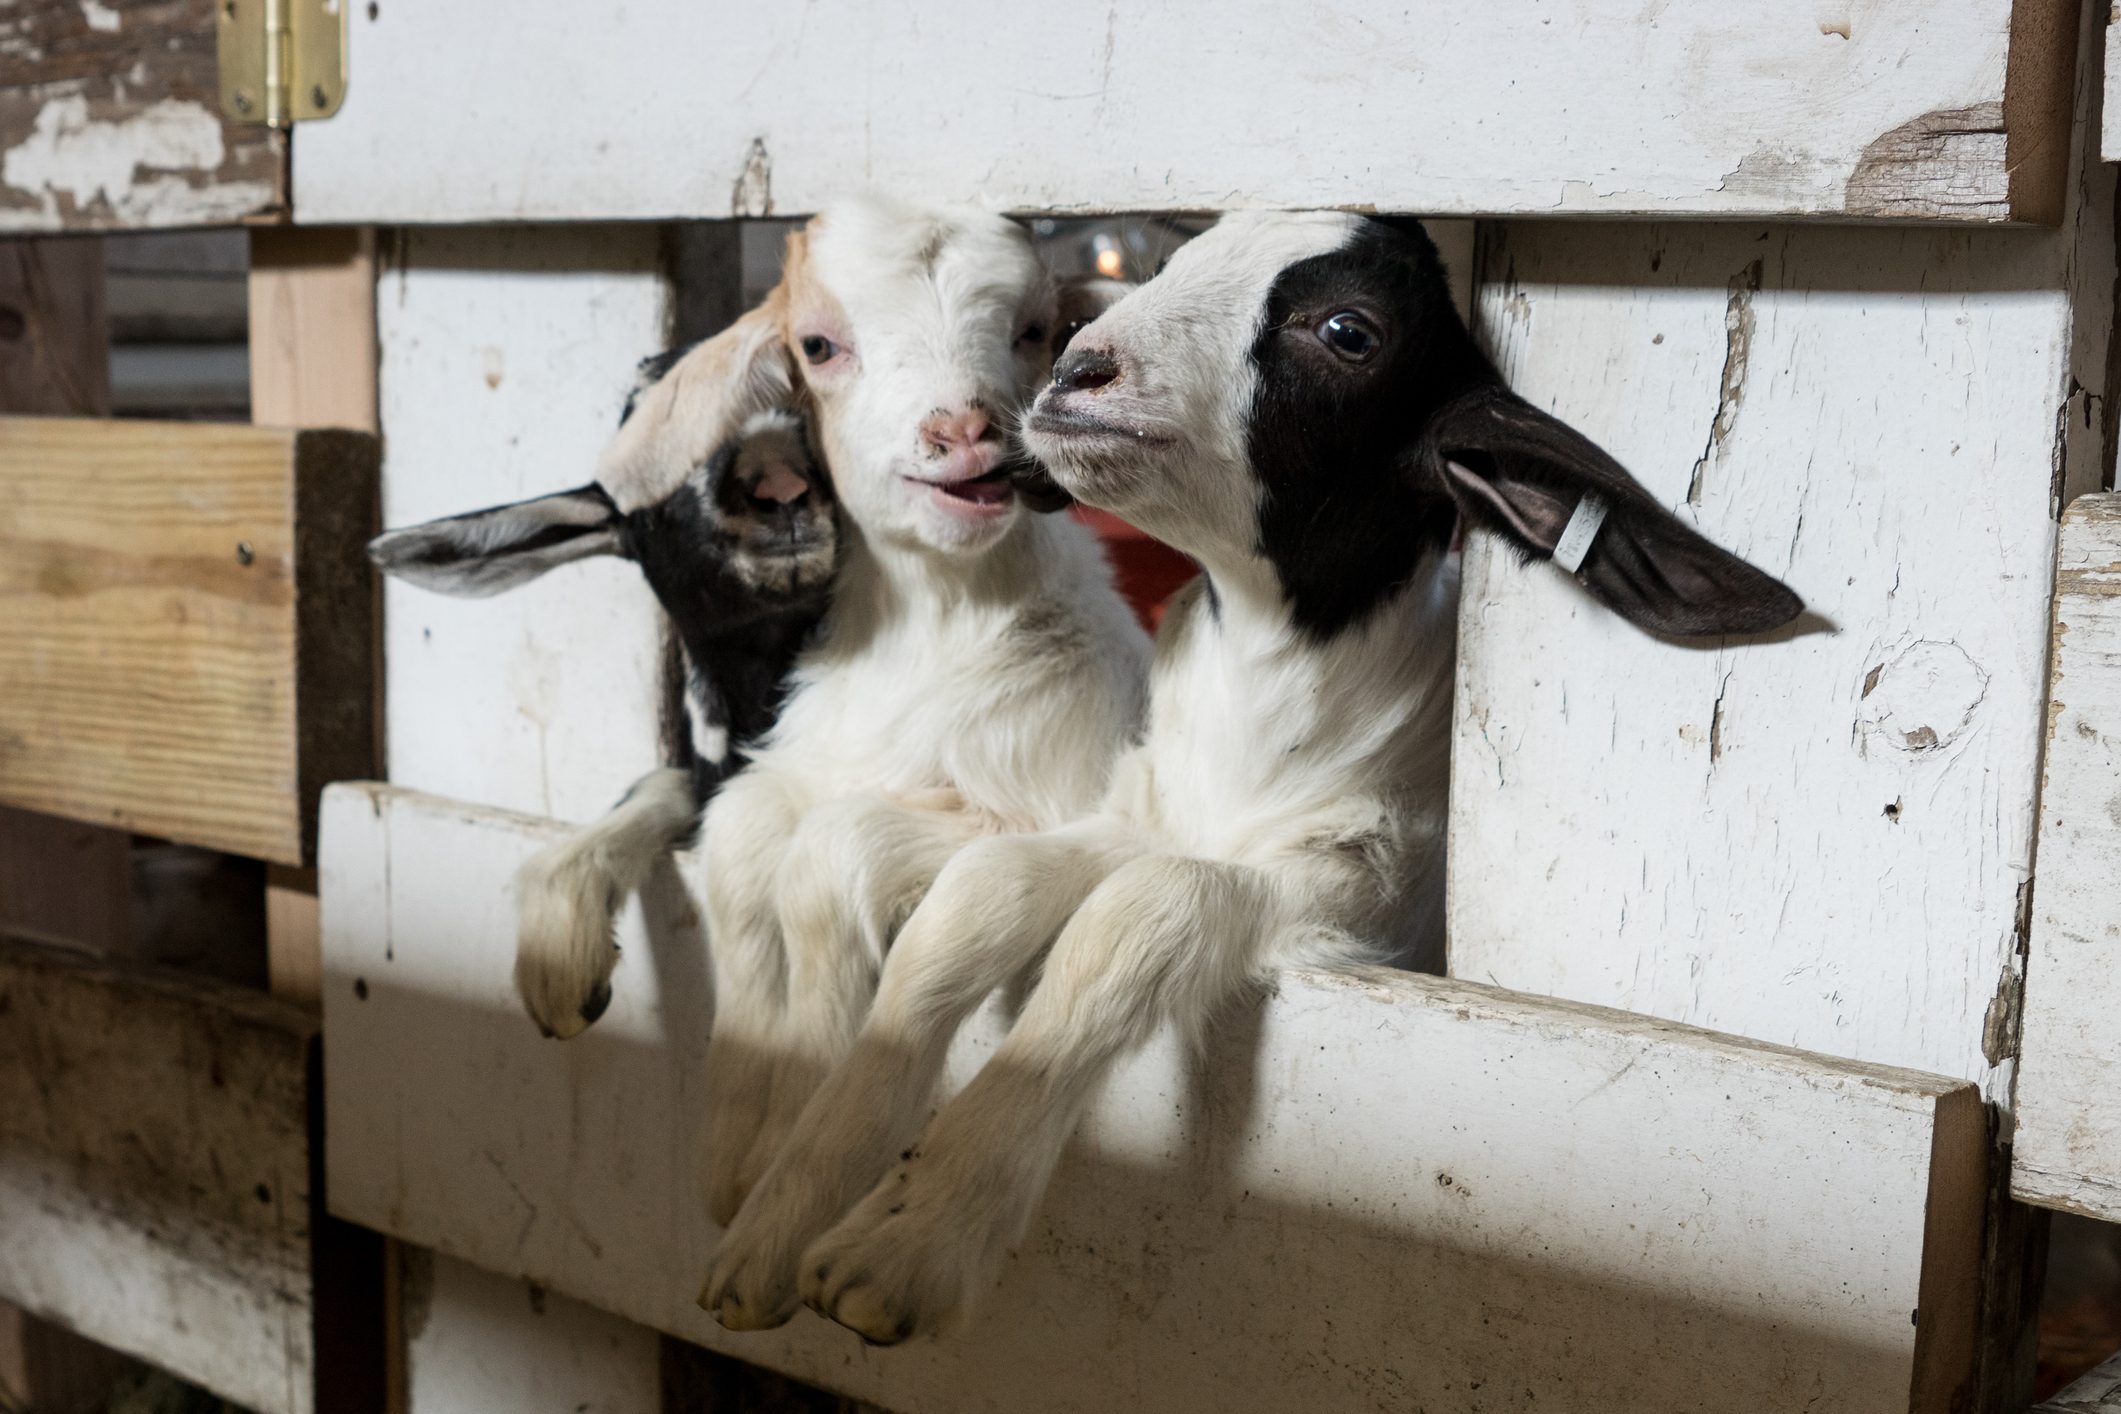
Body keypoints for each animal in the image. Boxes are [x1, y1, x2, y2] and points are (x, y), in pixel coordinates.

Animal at [702, 211, 1802, 1341]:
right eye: (1172, 262)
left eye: (1349, 330)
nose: (1078, 372)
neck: (1264, 702)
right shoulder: (1138, 815)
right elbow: (979, 895)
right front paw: (779, 1214)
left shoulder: (1362, 890)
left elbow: (1141, 913)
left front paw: (906, 1241)